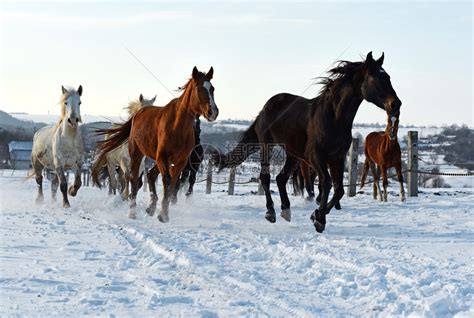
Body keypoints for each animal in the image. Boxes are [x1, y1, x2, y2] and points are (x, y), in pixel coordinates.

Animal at [96, 66, 218, 221]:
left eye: (212, 88)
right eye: (199, 88)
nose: (213, 111)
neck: (177, 126)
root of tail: (138, 114)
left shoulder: (181, 161)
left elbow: (173, 183)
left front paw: (163, 213)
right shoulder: (162, 157)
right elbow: (166, 180)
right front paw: (162, 213)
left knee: (150, 175)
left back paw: (150, 207)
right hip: (136, 155)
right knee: (132, 180)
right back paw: (132, 212)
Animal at [214, 52, 400, 234]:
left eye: (388, 77)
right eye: (376, 78)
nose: (396, 104)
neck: (334, 117)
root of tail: (265, 107)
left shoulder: (337, 157)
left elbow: (339, 189)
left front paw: (316, 215)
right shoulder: (315, 156)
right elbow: (326, 183)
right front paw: (319, 220)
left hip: (293, 154)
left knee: (281, 178)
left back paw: (286, 210)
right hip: (267, 145)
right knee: (265, 177)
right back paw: (271, 212)